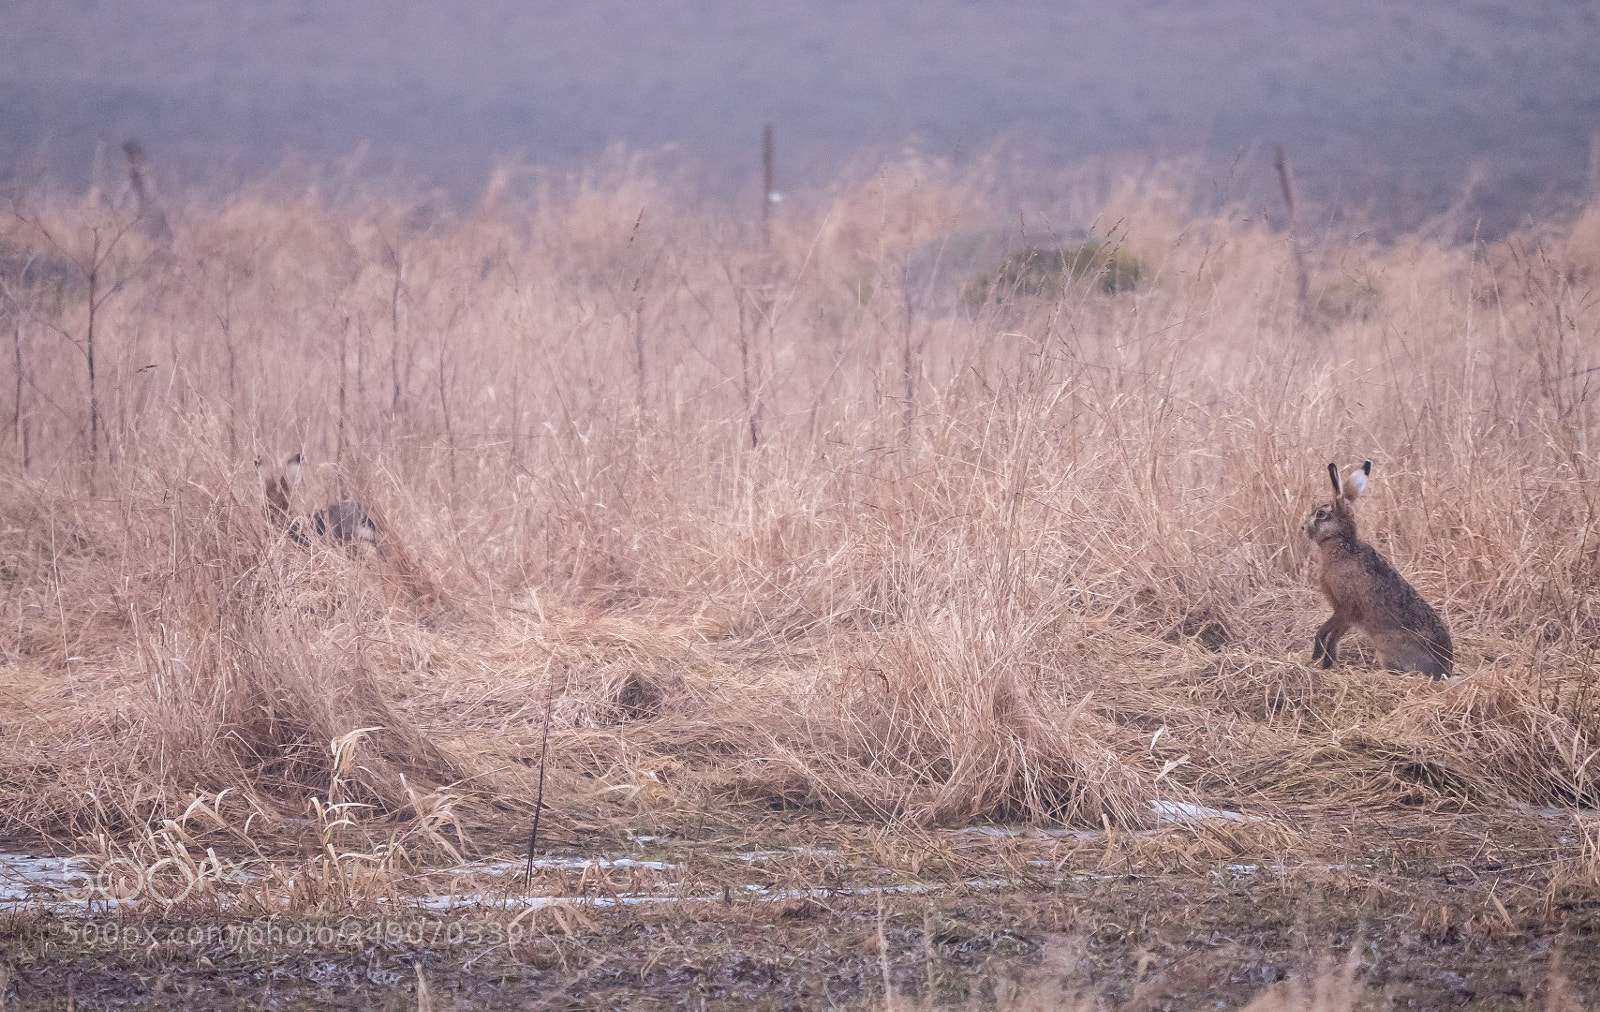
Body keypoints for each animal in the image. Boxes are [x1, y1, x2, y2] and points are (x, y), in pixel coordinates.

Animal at [1303, 460, 1453, 678]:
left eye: (1321, 514)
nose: (1303, 528)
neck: (1342, 544)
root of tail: (1443, 671)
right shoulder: (1348, 616)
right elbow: (1335, 637)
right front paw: (1326, 662)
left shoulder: (1345, 606)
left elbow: (1327, 631)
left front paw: (1317, 655)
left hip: (1384, 648)